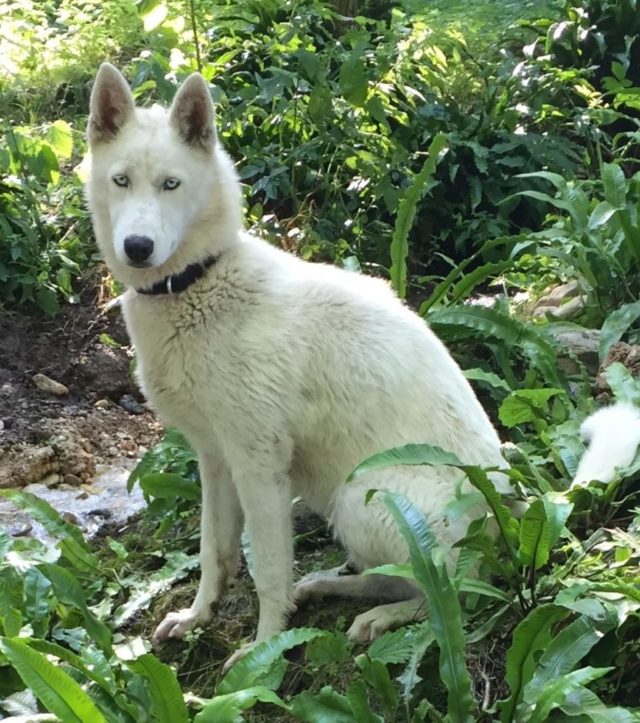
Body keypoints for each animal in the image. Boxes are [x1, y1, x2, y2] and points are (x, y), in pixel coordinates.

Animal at [86, 66, 640, 656]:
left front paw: (265, 649)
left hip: (362, 496)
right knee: (395, 577)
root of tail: (518, 508)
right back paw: (329, 586)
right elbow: (216, 554)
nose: (137, 247)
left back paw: (385, 615)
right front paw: (198, 617)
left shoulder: (260, 466)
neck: (199, 282)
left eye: (171, 184)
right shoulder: (215, 460)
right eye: (121, 181)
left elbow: (267, 571)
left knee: (455, 591)